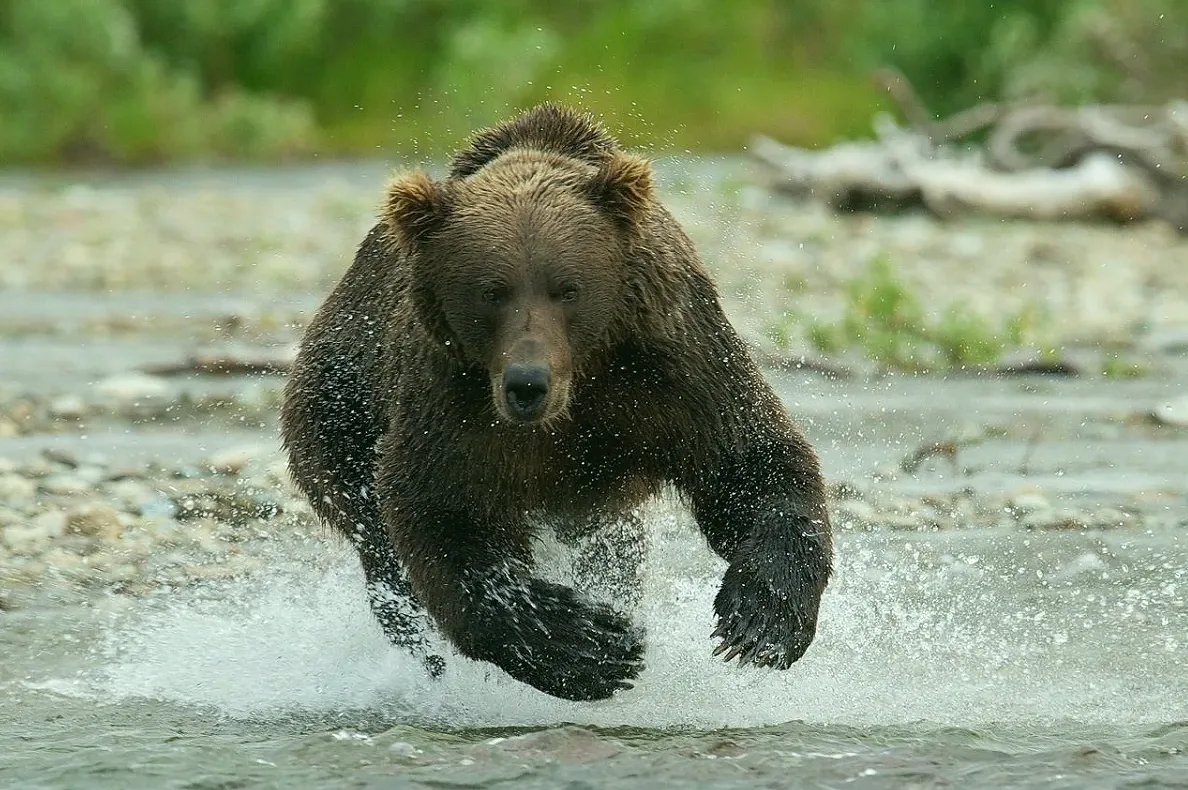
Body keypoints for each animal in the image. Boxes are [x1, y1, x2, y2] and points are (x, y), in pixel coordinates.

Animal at [280, 104, 833, 701]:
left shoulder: (673, 366)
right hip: (339, 414)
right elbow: (443, 515)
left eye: (567, 288)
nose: (527, 383)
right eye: (491, 291)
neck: (579, 385)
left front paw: (760, 620)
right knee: (384, 553)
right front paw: (590, 646)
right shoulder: (452, 400)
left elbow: (748, 461)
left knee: (612, 553)